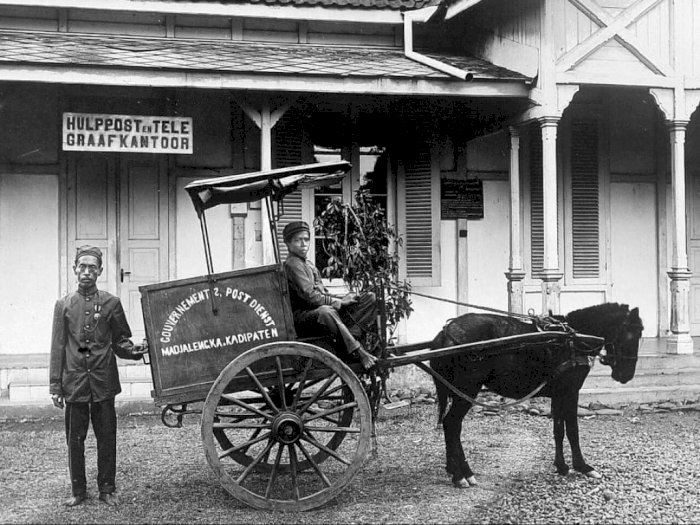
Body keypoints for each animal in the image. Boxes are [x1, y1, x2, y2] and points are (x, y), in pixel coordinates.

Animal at [430, 302, 648, 488]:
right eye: (631, 334)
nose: (626, 375)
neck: (573, 339)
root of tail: (445, 334)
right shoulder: (570, 391)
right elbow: (572, 430)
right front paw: (582, 466)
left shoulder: (559, 394)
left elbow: (559, 430)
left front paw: (561, 466)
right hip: (467, 390)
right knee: (452, 424)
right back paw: (462, 475)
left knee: (451, 426)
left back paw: (453, 469)